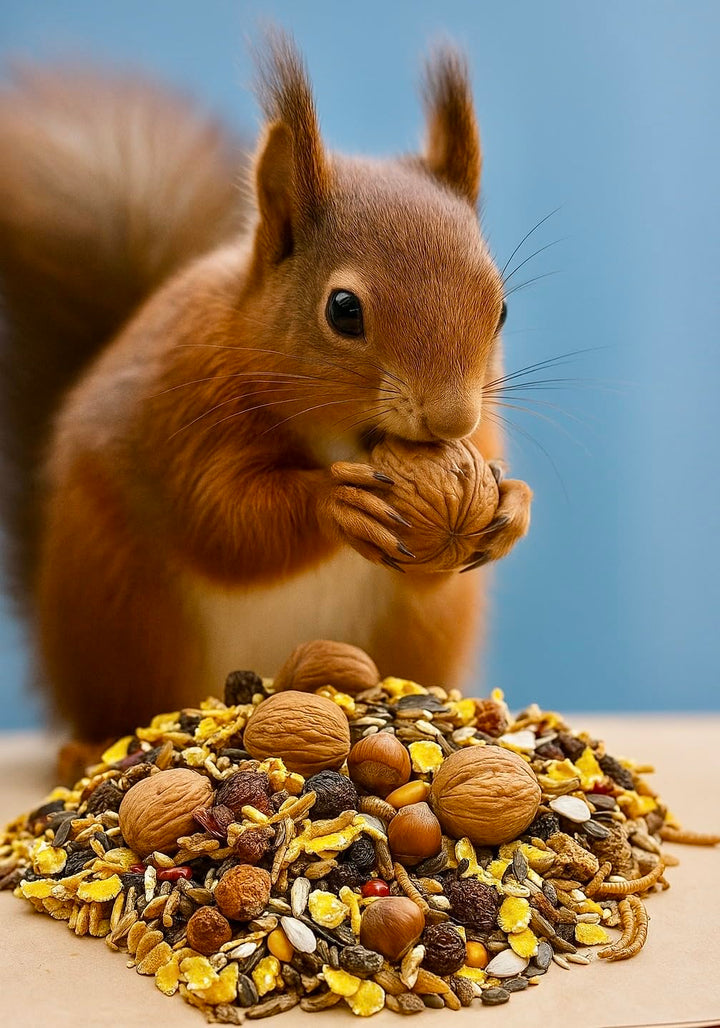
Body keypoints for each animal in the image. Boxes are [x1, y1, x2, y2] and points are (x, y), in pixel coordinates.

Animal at [0, 35, 532, 745]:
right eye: (343, 310)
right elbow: (222, 520)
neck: (341, 444)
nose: (452, 421)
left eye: (501, 309)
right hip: (122, 616)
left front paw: (511, 503)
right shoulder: (186, 409)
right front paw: (337, 502)